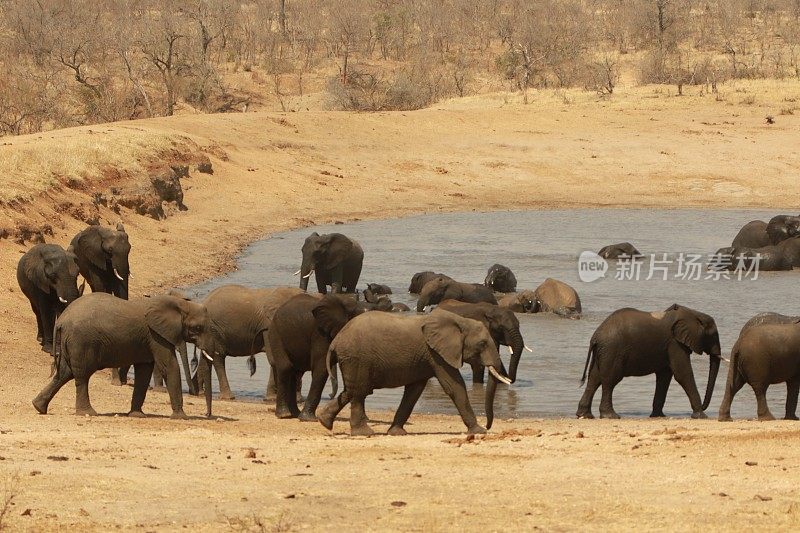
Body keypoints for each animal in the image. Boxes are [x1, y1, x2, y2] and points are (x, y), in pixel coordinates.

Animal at [32, 294, 222, 418]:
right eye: (197, 328)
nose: (207, 415)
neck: (180, 303)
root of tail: (61, 321)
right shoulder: (156, 335)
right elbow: (168, 366)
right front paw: (181, 417)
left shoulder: (149, 339)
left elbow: (144, 371)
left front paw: (137, 415)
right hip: (81, 342)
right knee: (81, 375)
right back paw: (87, 413)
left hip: (71, 342)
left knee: (64, 373)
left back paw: (39, 407)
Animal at [266, 290, 362, 420]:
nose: (330, 395)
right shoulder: (320, 333)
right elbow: (321, 368)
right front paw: (309, 419)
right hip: (276, 334)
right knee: (286, 368)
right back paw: (284, 415)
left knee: (296, 373)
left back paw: (295, 414)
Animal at [318, 310, 512, 434]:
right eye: (482, 344)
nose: (488, 426)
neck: (461, 321)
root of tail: (336, 340)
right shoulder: (436, 354)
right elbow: (454, 386)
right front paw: (478, 431)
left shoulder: (426, 357)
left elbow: (414, 391)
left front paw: (397, 433)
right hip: (358, 358)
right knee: (359, 393)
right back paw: (364, 433)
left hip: (352, 360)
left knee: (350, 391)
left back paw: (324, 422)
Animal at [576, 304, 724, 420]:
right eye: (713, 335)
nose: (704, 407)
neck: (694, 313)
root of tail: (596, 336)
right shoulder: (675, 344)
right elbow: (683, 374)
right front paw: (701, 416)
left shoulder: (668, 347)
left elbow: (664, 377)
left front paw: (658, 416)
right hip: (612, 350)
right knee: (609, 380)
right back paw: (611, 416)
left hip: (603, 352)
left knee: (594, 378)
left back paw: (585, 415)